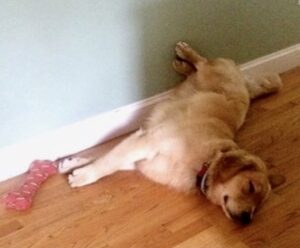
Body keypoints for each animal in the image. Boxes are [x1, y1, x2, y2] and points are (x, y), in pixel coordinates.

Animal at [58, 41, 284, 224]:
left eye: (260, 204)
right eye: (250, 187)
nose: (247, 219)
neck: (204, 163)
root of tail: (244, 83)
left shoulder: (140, 154)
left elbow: (105, 156)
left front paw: (73, 165)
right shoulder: (147, 141)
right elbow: (106, 161)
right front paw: (82, 175)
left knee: (195, 71)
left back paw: (181, 64)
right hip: (212, 72)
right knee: (202, 62)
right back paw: (184, 53)